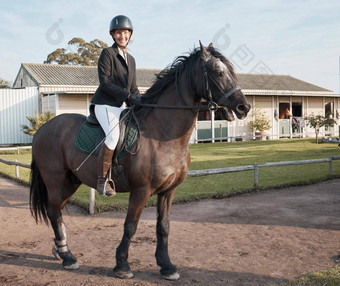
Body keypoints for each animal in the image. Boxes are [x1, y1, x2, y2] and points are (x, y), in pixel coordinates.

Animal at [29, 42, 250, 280]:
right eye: (218, 71)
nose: (244, 107)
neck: (162, 133)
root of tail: (42, 128)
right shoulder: (141, 190)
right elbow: (130, 226)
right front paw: (122, 265)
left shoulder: (168, 190)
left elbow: (164, 226)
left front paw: (166, 266)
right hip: (56, 181)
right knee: (54, 211)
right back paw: (68, 258)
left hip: (70, 182)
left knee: (57, 211)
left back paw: (61, 250)